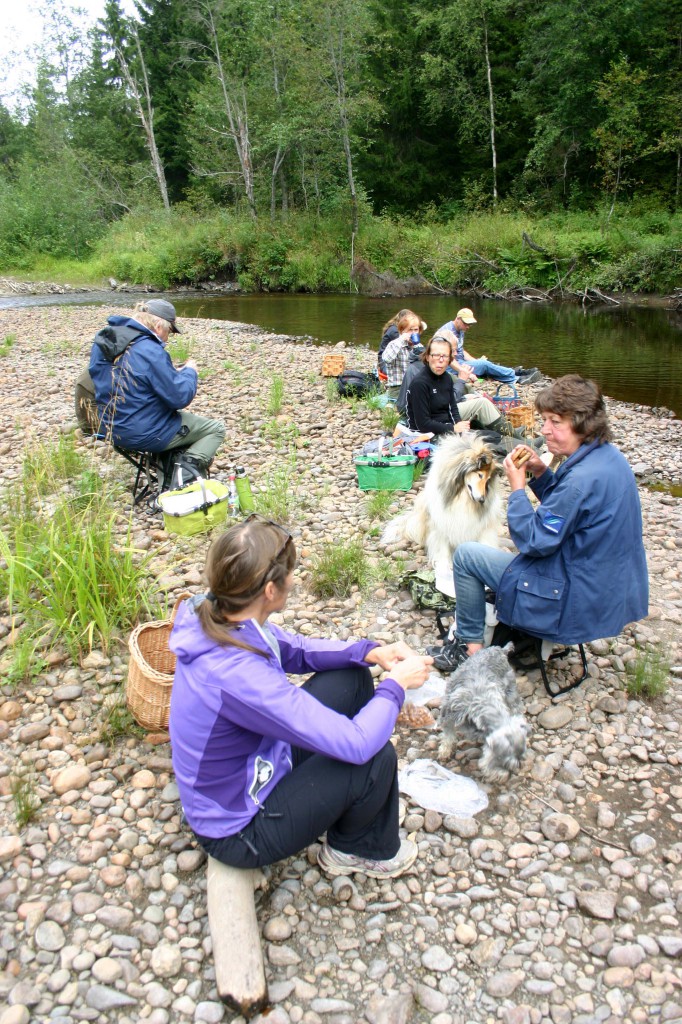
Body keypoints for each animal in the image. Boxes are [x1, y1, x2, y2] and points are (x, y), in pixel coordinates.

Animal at [378, 436, 501, 573]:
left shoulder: (483, 526)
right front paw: (444, 567)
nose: (482, 500)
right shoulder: (440, 523)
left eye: (488, 480)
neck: (461, 496)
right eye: (479, 475)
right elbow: (442, 548)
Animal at [438, 638, 528, 782]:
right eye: (501, 758)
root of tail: (499, 649)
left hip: (511, 693)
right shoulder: (448, 716)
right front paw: (444, 751)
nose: (507, 775)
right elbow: (448, 735)